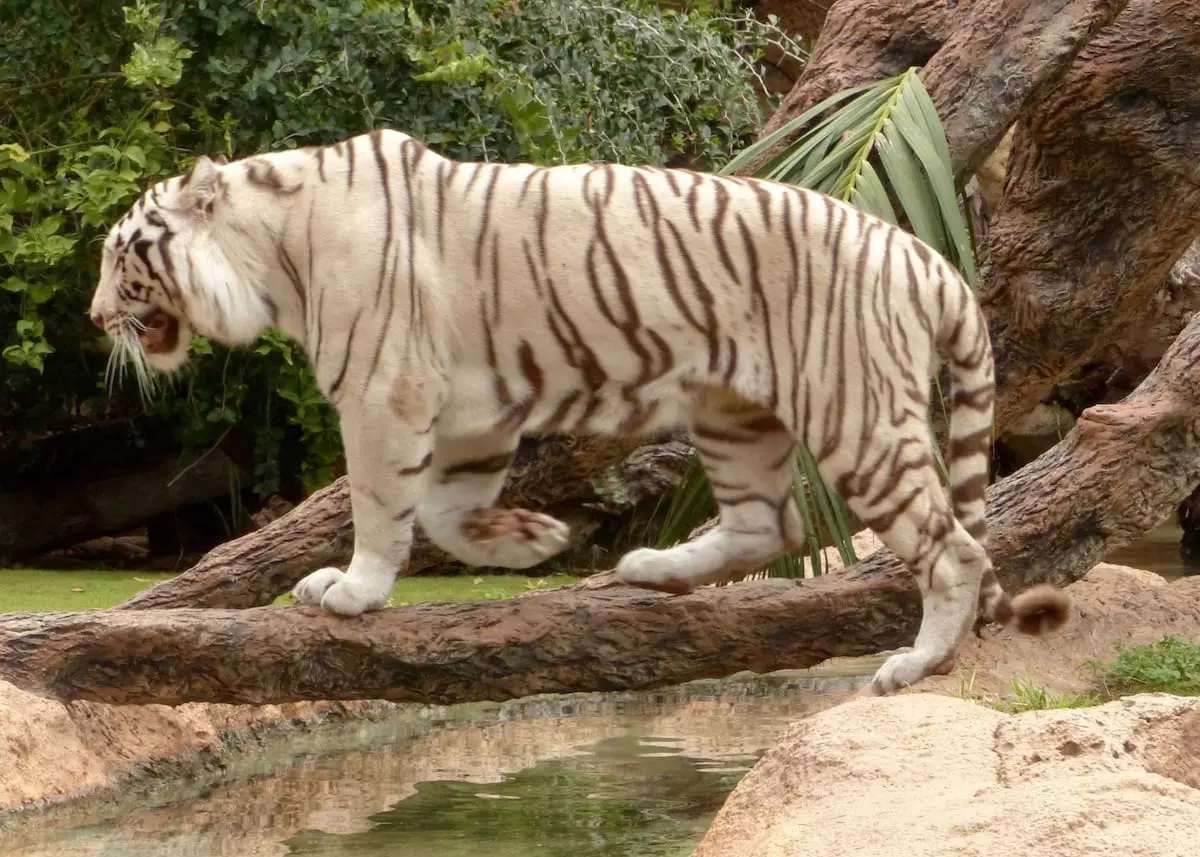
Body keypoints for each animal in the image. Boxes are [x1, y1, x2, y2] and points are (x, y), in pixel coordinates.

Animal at [88, 127, 1069, 695]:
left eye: (119, 256)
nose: (96, 318)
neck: (269, 251)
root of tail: (922, 254)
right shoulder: (470, 406)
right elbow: (444, 508)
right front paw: (530, 541)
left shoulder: (382, 392)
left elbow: (381, 505)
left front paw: (353, 592)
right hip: (732, 410)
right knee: (771, 522)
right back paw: (652, 569)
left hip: (853, 415)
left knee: (954, 547)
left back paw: (915, 662)